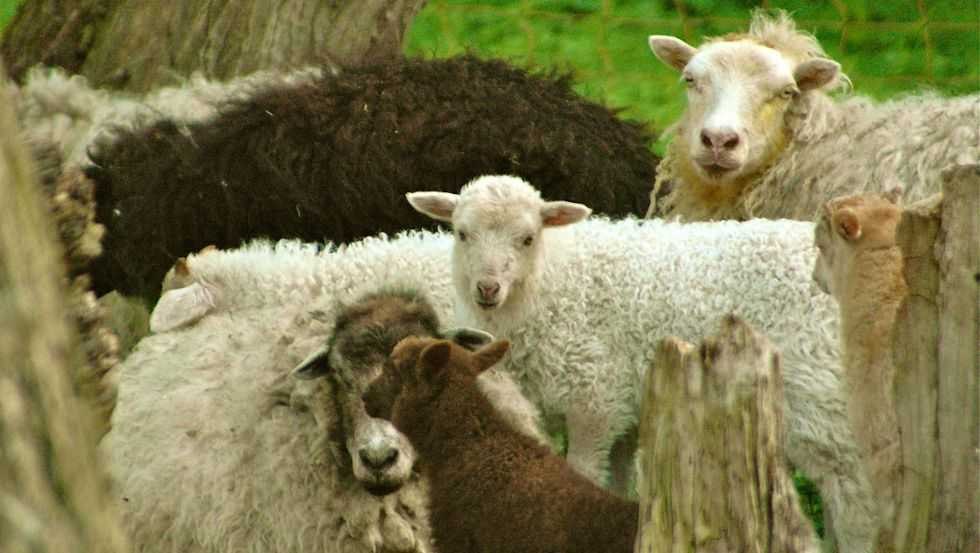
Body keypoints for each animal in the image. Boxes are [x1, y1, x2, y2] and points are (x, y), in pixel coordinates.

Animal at [407, 174, 877, 553]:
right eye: (462, 234)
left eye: (527, 238)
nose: (488, 288)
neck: (550, 281)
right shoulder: (621, 414)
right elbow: (616, 484)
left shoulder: (592, 401)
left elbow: (583, 475)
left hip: (822, 395)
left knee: (854, 493)